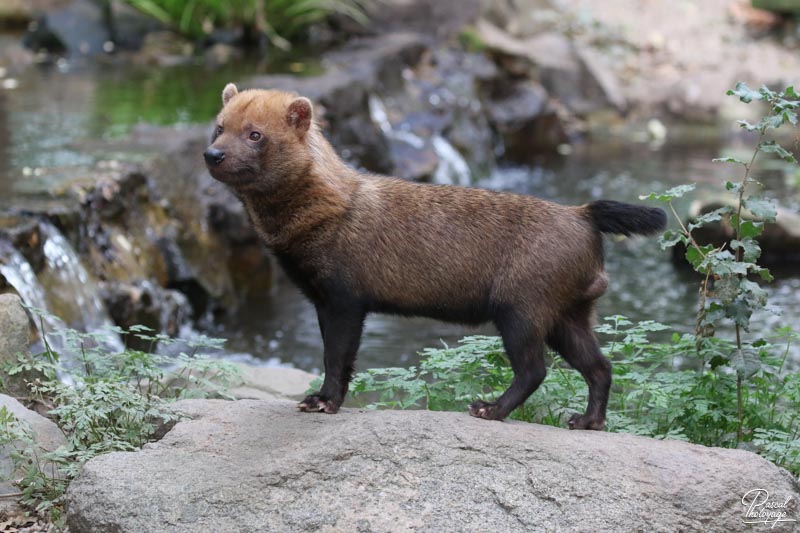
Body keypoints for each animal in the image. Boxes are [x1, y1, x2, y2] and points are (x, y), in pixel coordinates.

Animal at [203, 85, 664, 430]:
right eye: (218, 127)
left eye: (255, 134)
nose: (213, 155)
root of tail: (581, 212)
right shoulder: (318, 297)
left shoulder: (343, 296)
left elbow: (338, 356)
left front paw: (321, 400)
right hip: (570, 312)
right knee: (599, 366)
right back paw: (587, 421)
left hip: (522, 305)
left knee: (535, 368)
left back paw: (488, 408)